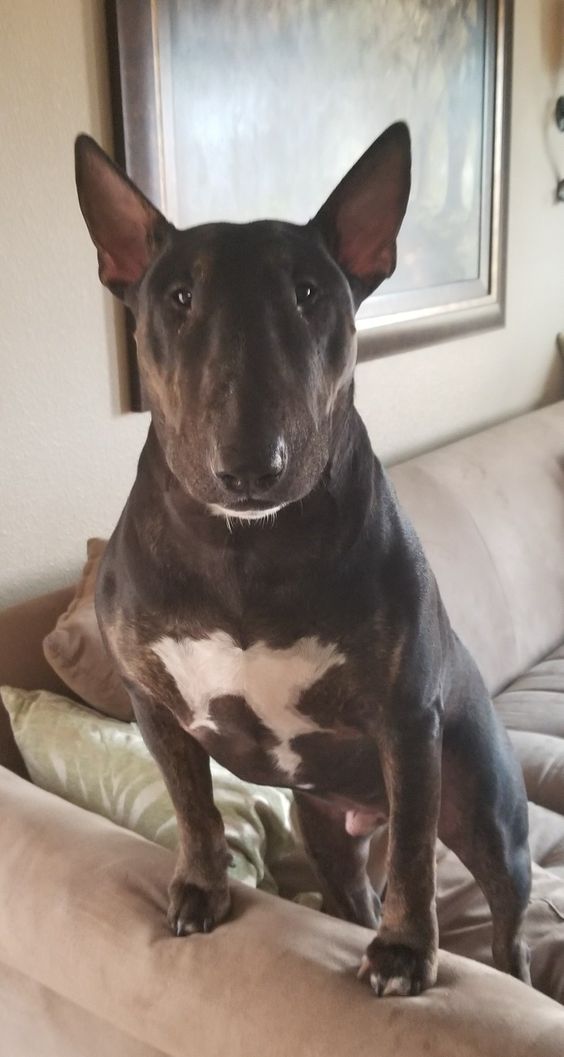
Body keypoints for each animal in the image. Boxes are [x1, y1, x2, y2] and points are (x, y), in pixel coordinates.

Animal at [73, 125, 530, 997]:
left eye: (311, 293)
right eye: (177, 297)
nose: (252, 466)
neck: (245, 546)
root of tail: (361, 810)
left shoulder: (405, 719)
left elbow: (415, 856)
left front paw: (405, 951)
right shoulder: (152, 705)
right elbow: (194, 806)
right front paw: (200, 887)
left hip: (488, 810)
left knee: (504, 918)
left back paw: (501, 965)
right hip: (325, 830)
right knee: (354, 891)